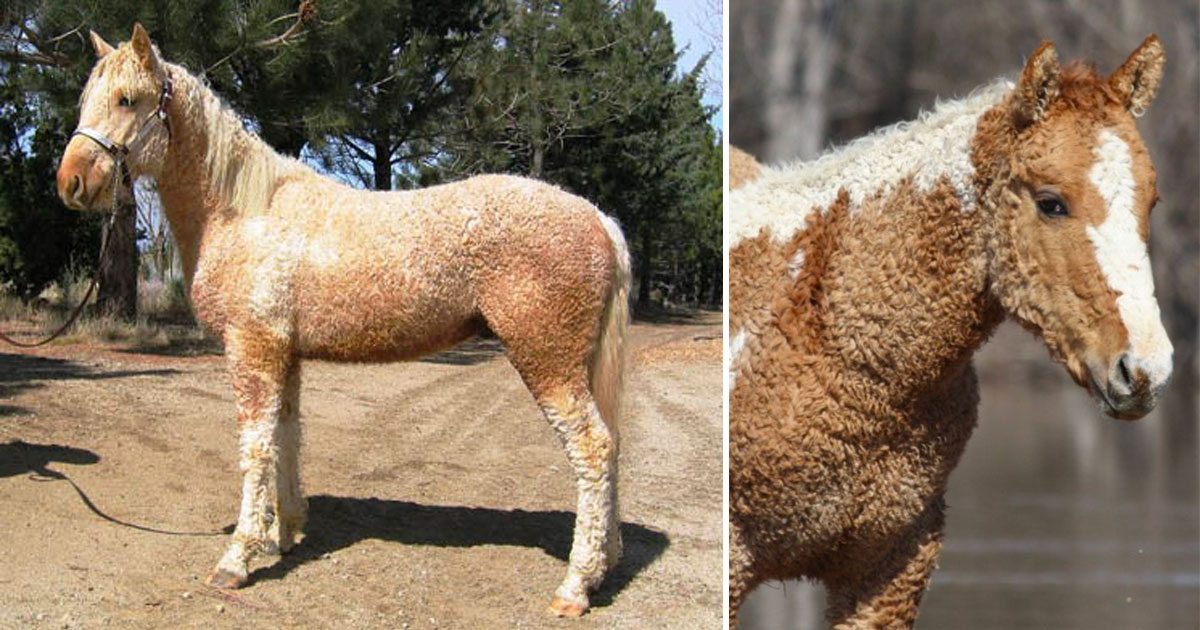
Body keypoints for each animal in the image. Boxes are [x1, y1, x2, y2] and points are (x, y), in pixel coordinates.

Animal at [57, 24, 630, 618]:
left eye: (127, 100)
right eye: (87, 99)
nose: (70, 181)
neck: (245, 211)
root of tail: (598, 219)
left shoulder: (251, 349)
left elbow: (255, 447)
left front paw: (238, 557)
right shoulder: (283, 354)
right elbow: (286, 438)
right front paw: (284, 533)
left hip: (549, 363)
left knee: (594, 449)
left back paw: (574, 587)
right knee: (612, 446)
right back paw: (605, 562)